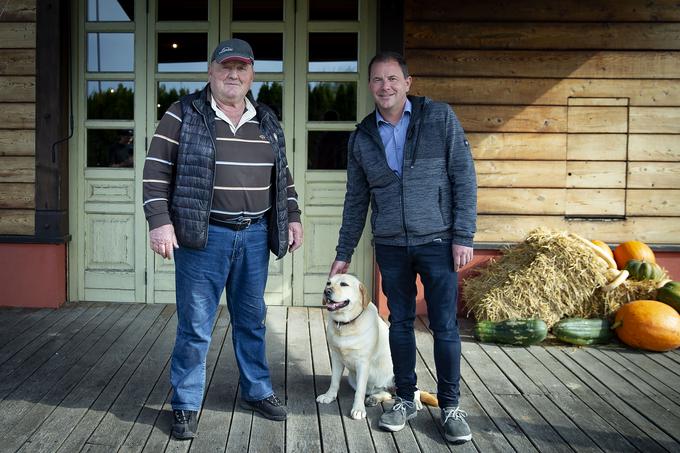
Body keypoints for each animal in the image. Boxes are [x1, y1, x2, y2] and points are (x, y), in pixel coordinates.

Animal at [316, 270, 438, 418]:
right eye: (328, 283)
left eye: (344, 284)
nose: (326, 291)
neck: (346, 325)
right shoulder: (336, 357)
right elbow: (334, 381)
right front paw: (329, 396)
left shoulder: (363, 363)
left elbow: (360, 391)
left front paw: (358, 409)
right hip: (354, 379)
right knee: (387, 393)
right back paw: (374, 398)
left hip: (403, 372)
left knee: (413, 390)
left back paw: (415, 401)